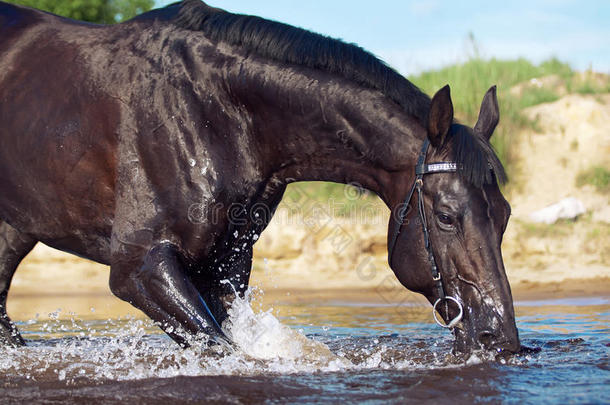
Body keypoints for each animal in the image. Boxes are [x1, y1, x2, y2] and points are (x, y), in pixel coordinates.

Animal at [0, 0, 520, 354]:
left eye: (505, 215)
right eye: (447, 216)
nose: (500, 338)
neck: (216, 113)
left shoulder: (224, 269)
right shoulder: (138, 267)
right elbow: (228, 352)